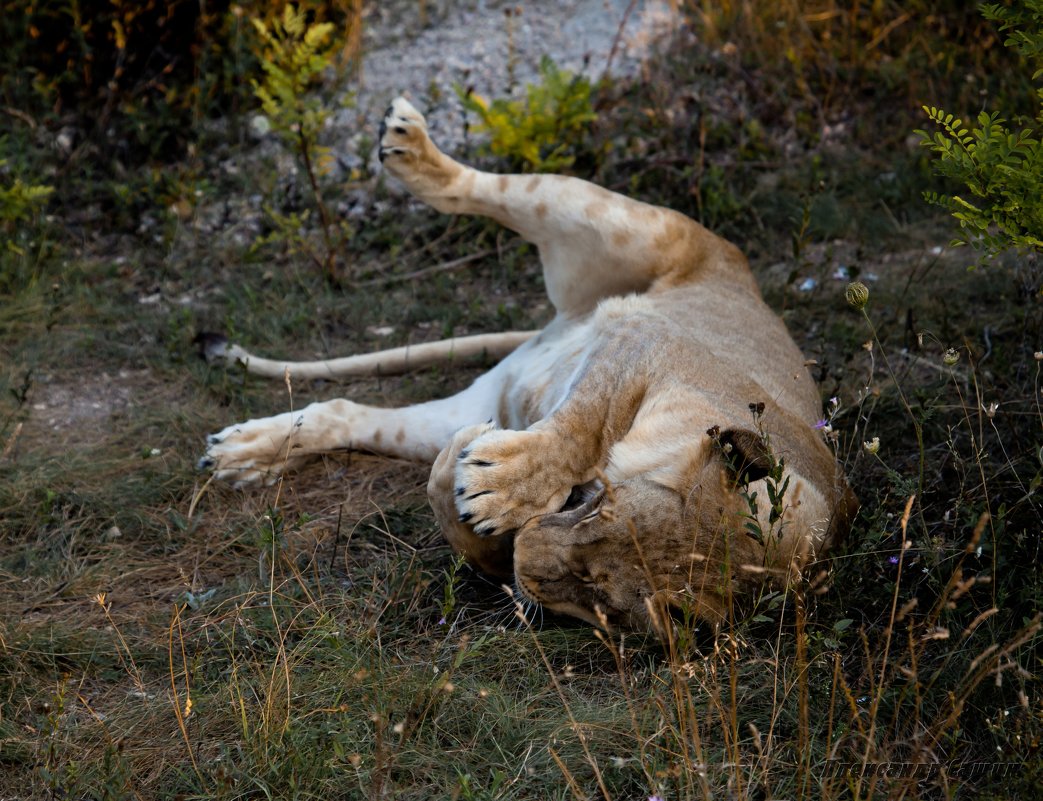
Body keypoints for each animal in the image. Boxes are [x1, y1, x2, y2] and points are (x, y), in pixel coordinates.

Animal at [201, 96, 855, 629]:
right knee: (487, 189)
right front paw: (506, 483)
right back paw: (409, 144)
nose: (525, 561)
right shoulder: (644, 337)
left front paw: (476, 494)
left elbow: (473, 526)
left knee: (345, 413)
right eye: (597, 511)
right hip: (629, 226)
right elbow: (584, 424)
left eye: (603, 600)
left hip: (471, 404)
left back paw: (244, 454)